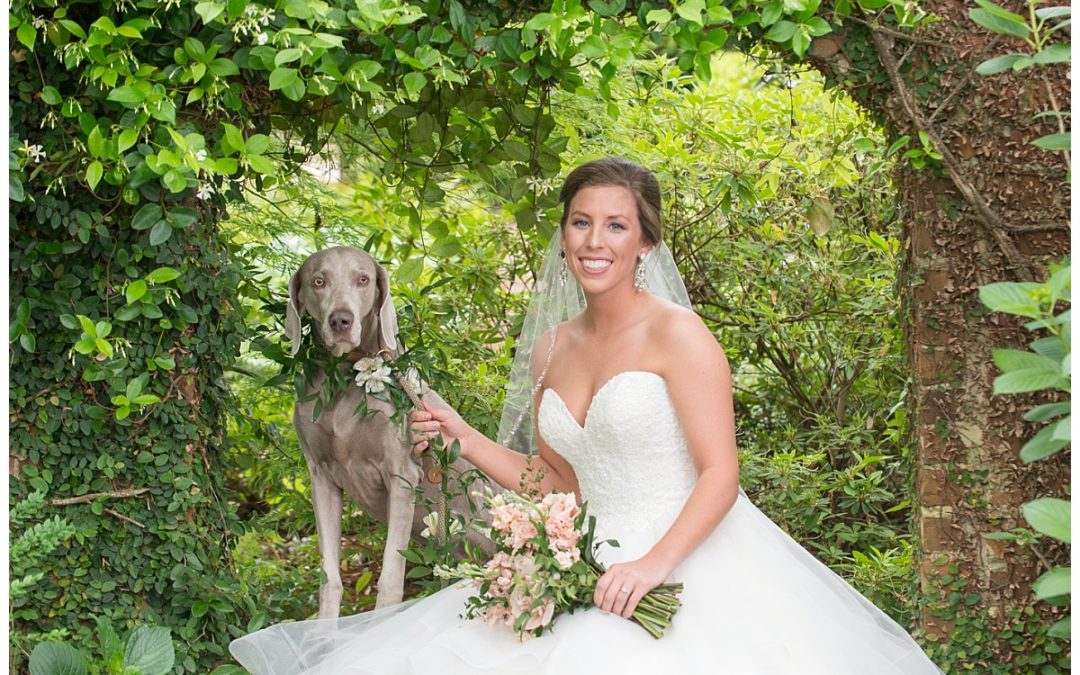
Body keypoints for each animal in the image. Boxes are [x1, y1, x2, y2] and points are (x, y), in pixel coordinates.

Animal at [282, 246, 481, 617]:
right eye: (318, 281)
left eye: (363, 279)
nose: (341, 320)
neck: (345, 376)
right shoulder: (321, 478)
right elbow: (329, 580)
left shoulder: (401, 474)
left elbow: (390, 582)